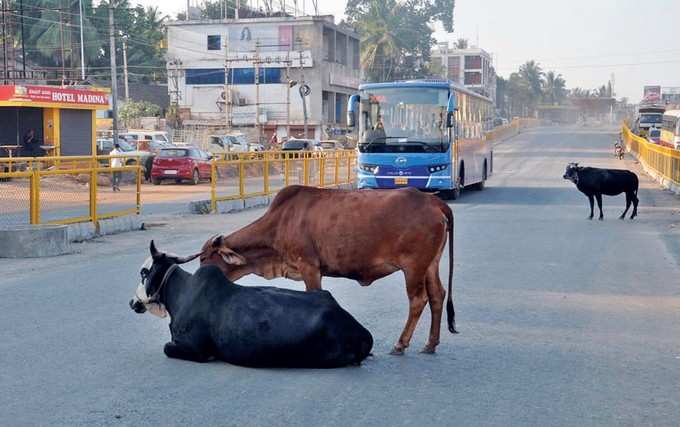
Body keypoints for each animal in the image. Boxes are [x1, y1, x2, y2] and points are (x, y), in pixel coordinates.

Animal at [130, 242, 374, 370]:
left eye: (143, 273)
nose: (132, 302)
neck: (180, 295)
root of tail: (361, 331)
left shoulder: (195, 348)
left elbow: (167, 348)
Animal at [198, 186, 456, 356]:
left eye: (204, 258)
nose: (199, 280)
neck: (279, 224)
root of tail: (432, 201)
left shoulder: (309, 267)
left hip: (413, 267)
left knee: (418, 299)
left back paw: (401, 344)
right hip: (430, 265)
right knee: (437, 295)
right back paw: (431, 344)